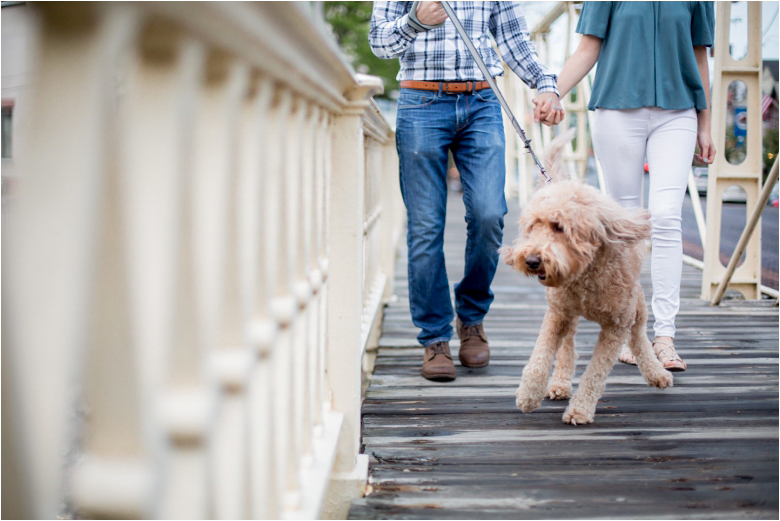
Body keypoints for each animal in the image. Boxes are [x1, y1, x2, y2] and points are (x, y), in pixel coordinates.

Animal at [502, 130, 672, 422]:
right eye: (533, 226)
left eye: (559, 227)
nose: (532, 260)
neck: (587, 276)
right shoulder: (556, 314)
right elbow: (540, 357)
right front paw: (528, 394)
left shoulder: (616, 326)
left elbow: (596, 373)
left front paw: (580, 410)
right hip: (565, 310)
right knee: (567, 345)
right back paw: (559, 383)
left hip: (637, 308)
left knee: (639, 337)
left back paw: (655, 372)